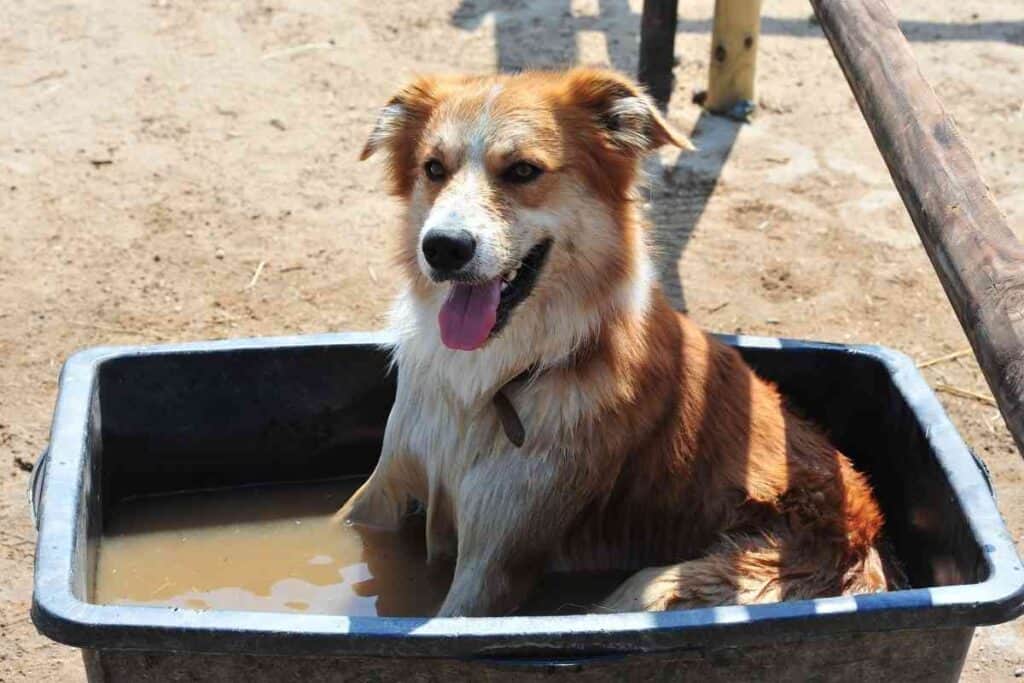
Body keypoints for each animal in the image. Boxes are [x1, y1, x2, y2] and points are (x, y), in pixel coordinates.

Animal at [337, 69, 897, 618]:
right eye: (433, 168)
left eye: (522, 171)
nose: (443, 248)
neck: (492, 379)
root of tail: (871, 539)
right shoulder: (382, 487)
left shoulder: (496, 559)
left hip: (656, 587)